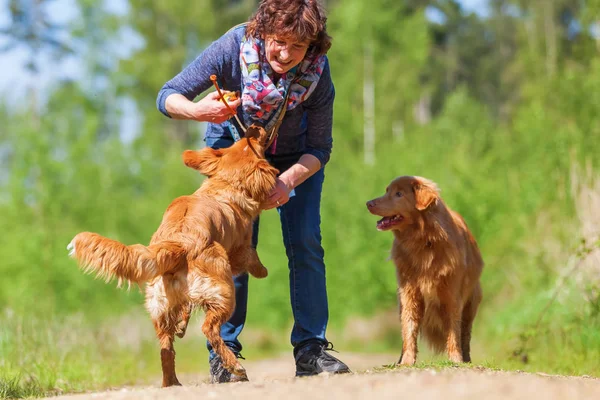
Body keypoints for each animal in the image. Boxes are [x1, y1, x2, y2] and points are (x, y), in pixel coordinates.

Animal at [68, 126, 278, 388]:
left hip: (161, 306)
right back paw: (235, 367)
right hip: (224, 290)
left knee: (166, 349)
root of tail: (179, 243)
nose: (254, 128)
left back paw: (172, 381)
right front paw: (263, 270)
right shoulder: (240, 249)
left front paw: (181, 325)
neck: (222, 185)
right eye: (253, 145)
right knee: (209, 329)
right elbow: (251, 256)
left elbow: (185, 310)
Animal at [366, 176, 482, 366]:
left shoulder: (452, 295)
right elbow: (409, 328)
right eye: (387, 190)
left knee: (465, 333)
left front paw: (455, 359)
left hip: (471, 303)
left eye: (399, 194)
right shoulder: (409, 294)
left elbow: (453, 330)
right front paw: (407, 361)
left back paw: (466, 358)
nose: (369, 203)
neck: (424, 241)